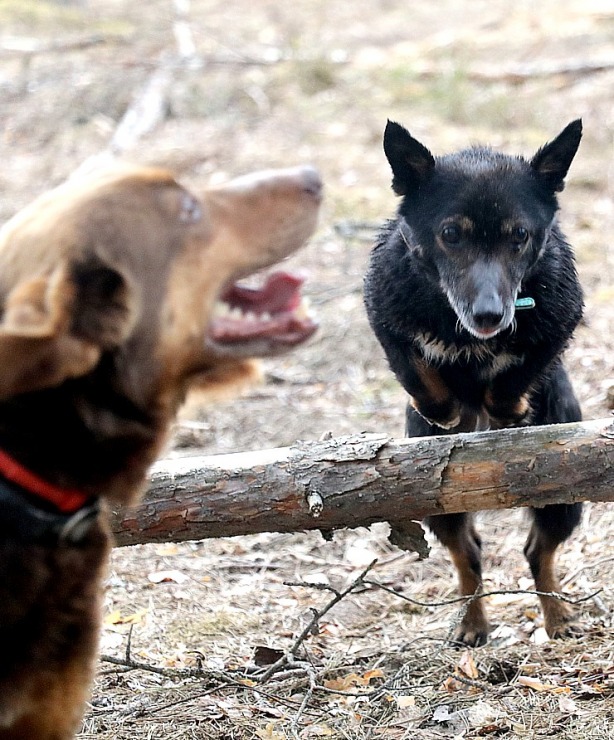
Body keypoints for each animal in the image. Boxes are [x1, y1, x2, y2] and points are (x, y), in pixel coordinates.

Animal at [366, 118, 588, 644]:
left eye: (520, 235)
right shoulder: (384, 315)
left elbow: (516, 373)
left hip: (564, 500)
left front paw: (506, 408)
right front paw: (445, 410)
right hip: (435, 504)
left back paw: (556, 616)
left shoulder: (560, 321)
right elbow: (418, 372)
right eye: (451, 234)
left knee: (538, 552)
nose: (489, 315)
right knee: (468, 554)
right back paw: (472, 622)